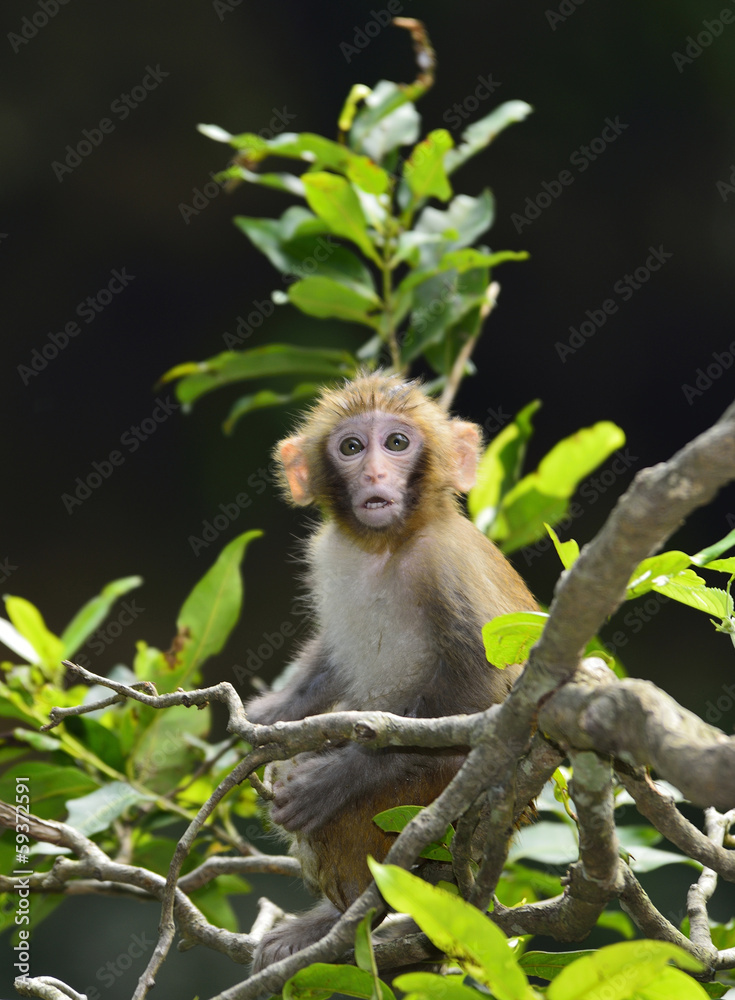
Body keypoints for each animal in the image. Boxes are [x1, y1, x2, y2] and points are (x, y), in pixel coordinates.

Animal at [246, 371, 537, 970]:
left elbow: (491, 705)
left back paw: (353, 910)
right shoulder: (330, 555)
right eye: (352, 447)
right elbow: (331, 662)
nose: (376, 474)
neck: (384, 546)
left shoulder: (448, 566)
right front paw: (273, 711)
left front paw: (340, 774)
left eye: (397, 443)